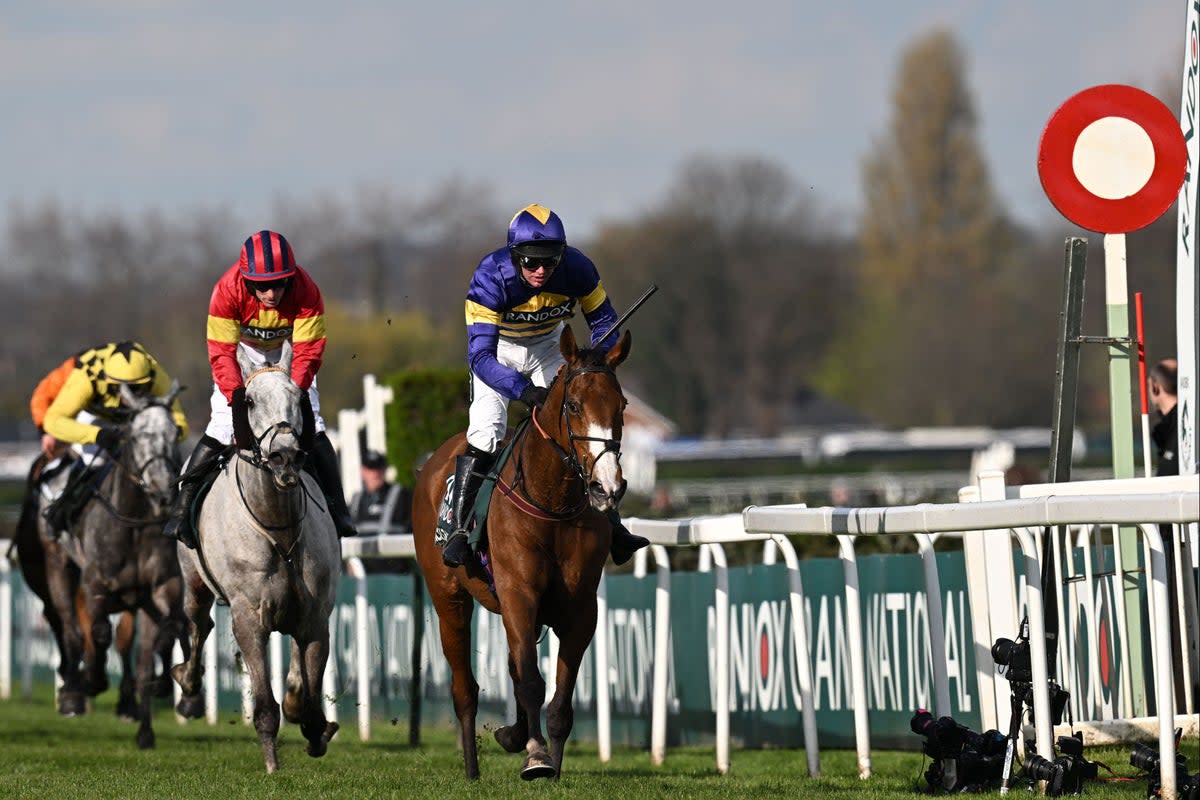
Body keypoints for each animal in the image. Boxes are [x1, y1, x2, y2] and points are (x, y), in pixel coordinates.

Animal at [72, 383, 190, 753]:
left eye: (174, 433)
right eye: (138, 436)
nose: (164, 492)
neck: (134, 523)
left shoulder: (164, 586)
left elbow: (167, 634)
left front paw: (164, 686)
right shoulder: (95, 586)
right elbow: (99, 633)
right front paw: (93, 679)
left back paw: (147, 724)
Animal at [171, 340, 338, 777]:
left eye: (298, 398)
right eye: (248, 400)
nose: (284, 456)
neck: (278, 528)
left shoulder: (316, 615)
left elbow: (309, 693)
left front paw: (315, 727)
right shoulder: (249, 617)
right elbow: (264, 704)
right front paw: (272, 765)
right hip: (193, 583)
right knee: (198, 624)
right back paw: (188, 686)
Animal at [412, 326, 633, 782]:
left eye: (621, 406)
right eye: (573, 405)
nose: (606, 487)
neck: (552, 502)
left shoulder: (580, 608)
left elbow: (559, 698)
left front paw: (551, 763)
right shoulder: (519, 594)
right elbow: (531, 682)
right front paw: (535, 757)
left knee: (515, 665)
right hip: (449, 600)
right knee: (465, 689)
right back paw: (473, 769)